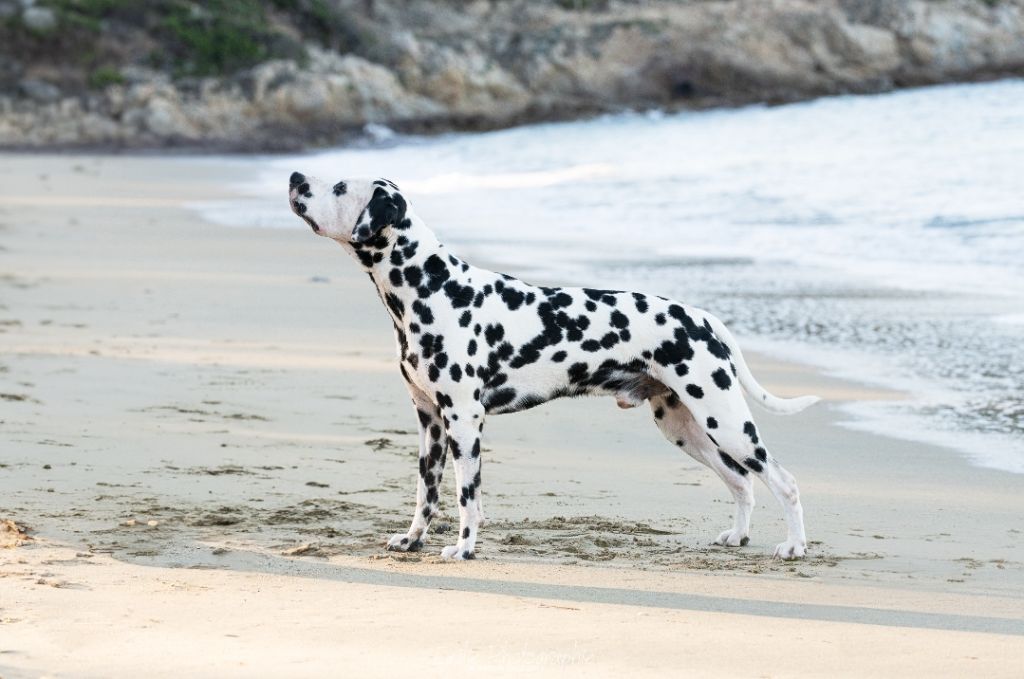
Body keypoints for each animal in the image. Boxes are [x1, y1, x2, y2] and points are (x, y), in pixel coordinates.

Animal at [288, 171, 818, 561]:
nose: (295, 176)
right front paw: (412, 540)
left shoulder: (464, 421)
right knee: (742, 481)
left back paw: (794, 546)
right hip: (686, 429)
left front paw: (464, 549)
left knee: (784, 481)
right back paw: (738, 537)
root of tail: (702, 316)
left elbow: (467, 498)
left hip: (725, 422)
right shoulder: (430, 422)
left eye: (339, 187)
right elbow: (427, 495)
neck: (434, 288)